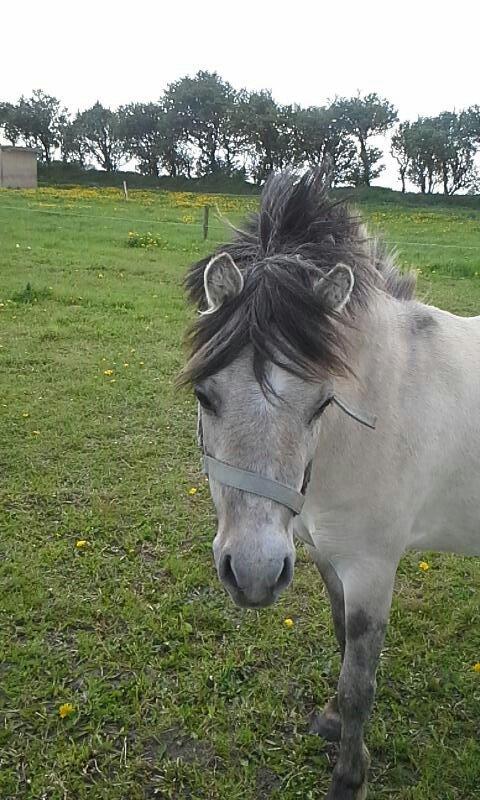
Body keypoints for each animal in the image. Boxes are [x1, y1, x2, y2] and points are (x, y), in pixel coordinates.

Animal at [179, 169, 480, 799]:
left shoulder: (371, 570)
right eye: (204, 395)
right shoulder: (326, 558)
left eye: (322, 403)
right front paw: (333, 724)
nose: (254, 573)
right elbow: (342, 642)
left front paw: (349, 778)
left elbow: (358, 681)